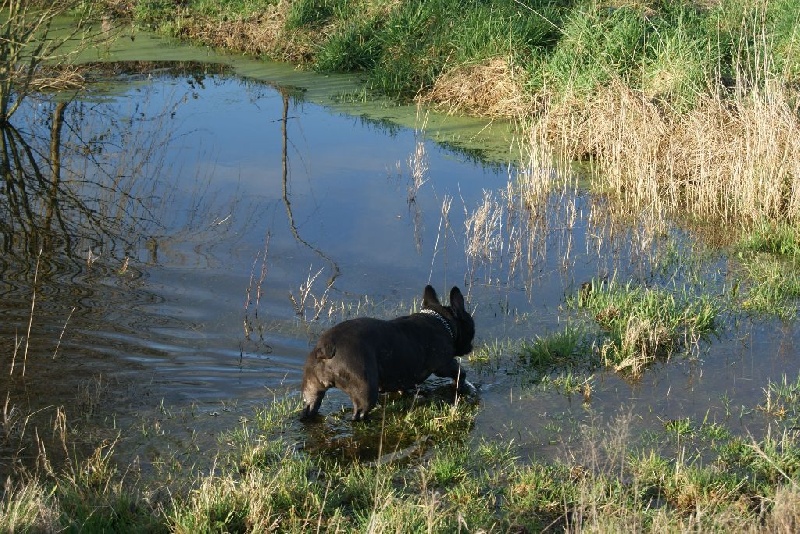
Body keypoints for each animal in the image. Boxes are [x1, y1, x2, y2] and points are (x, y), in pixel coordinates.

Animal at [300, 286, 476, 420]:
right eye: (472, 329)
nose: (471, 347)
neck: (443, 320)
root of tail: (327, 347)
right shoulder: (443, 364)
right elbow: (460, 371)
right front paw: (460, 385)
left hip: (312, 388)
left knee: (310, 406)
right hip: (365, 390)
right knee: (359, 413)